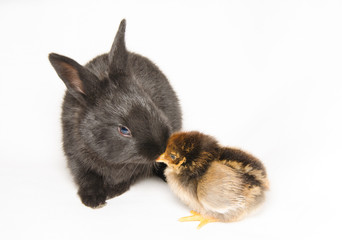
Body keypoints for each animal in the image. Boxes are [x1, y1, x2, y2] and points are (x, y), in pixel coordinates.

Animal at [48, 19, 182, 208]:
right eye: (123, 130)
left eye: (152, 105)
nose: (161, 148)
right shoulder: (74, 156)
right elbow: (86, 177)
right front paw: (93, 199)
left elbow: (128, 178)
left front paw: (112, 191)